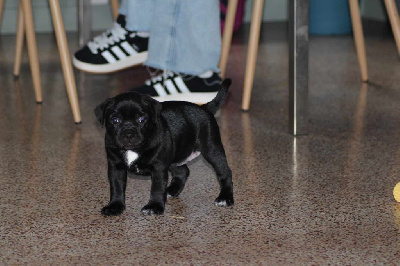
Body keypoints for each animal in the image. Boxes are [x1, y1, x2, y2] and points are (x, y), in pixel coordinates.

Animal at [95, 78, 233, 214]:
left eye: (142, 119)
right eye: (115, 120)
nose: (129, 134)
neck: (133, 149)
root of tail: (205, 108)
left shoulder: (159, 167)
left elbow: (157, 188)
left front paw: (154, 206)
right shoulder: (116, 167)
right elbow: (116, 187)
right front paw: (115, 206)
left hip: (212, 150)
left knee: (224, 172)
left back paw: (225, 198)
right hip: (175, 157)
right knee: (183, 171)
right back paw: (171, 190)